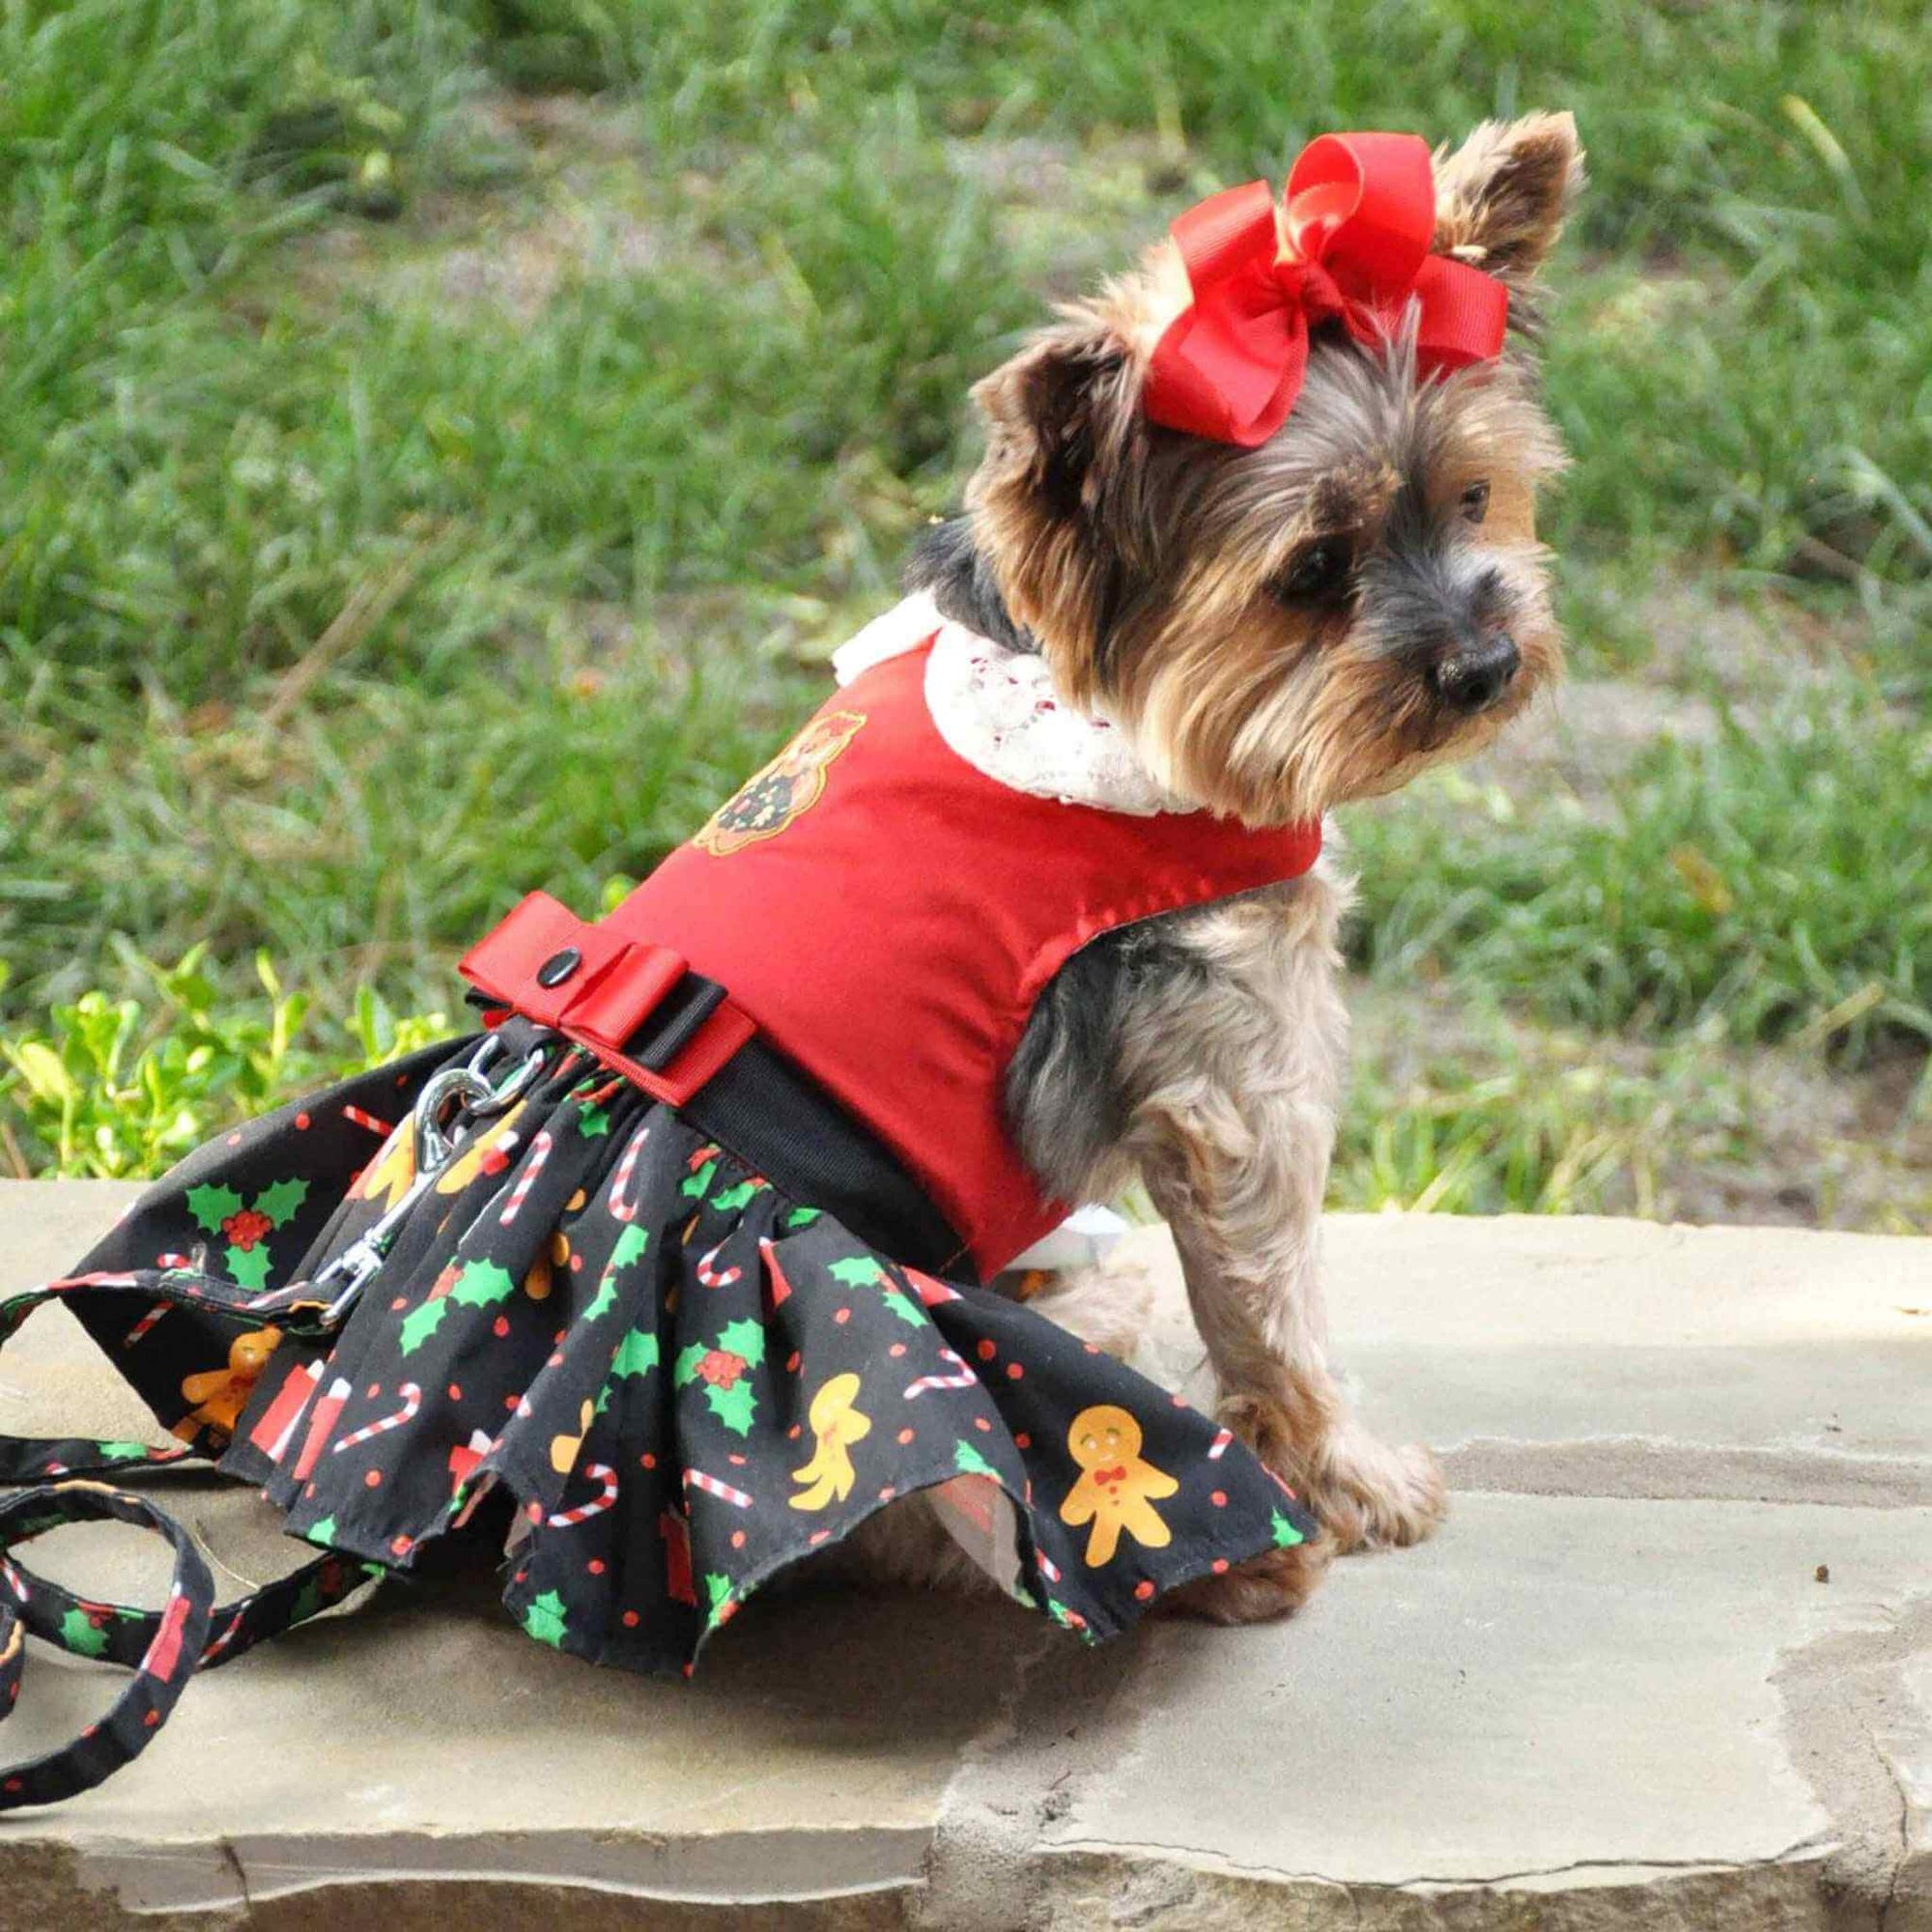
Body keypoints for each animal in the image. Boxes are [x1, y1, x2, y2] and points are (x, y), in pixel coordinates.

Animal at [838, 105, 1577, 1615]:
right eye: (1309, 572)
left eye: (1475, 496)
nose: (1483, 663)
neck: (1095, 712)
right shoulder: (1235, 1074)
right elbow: (1274, 1310)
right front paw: (1353, 1482)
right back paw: (1242, 1557)